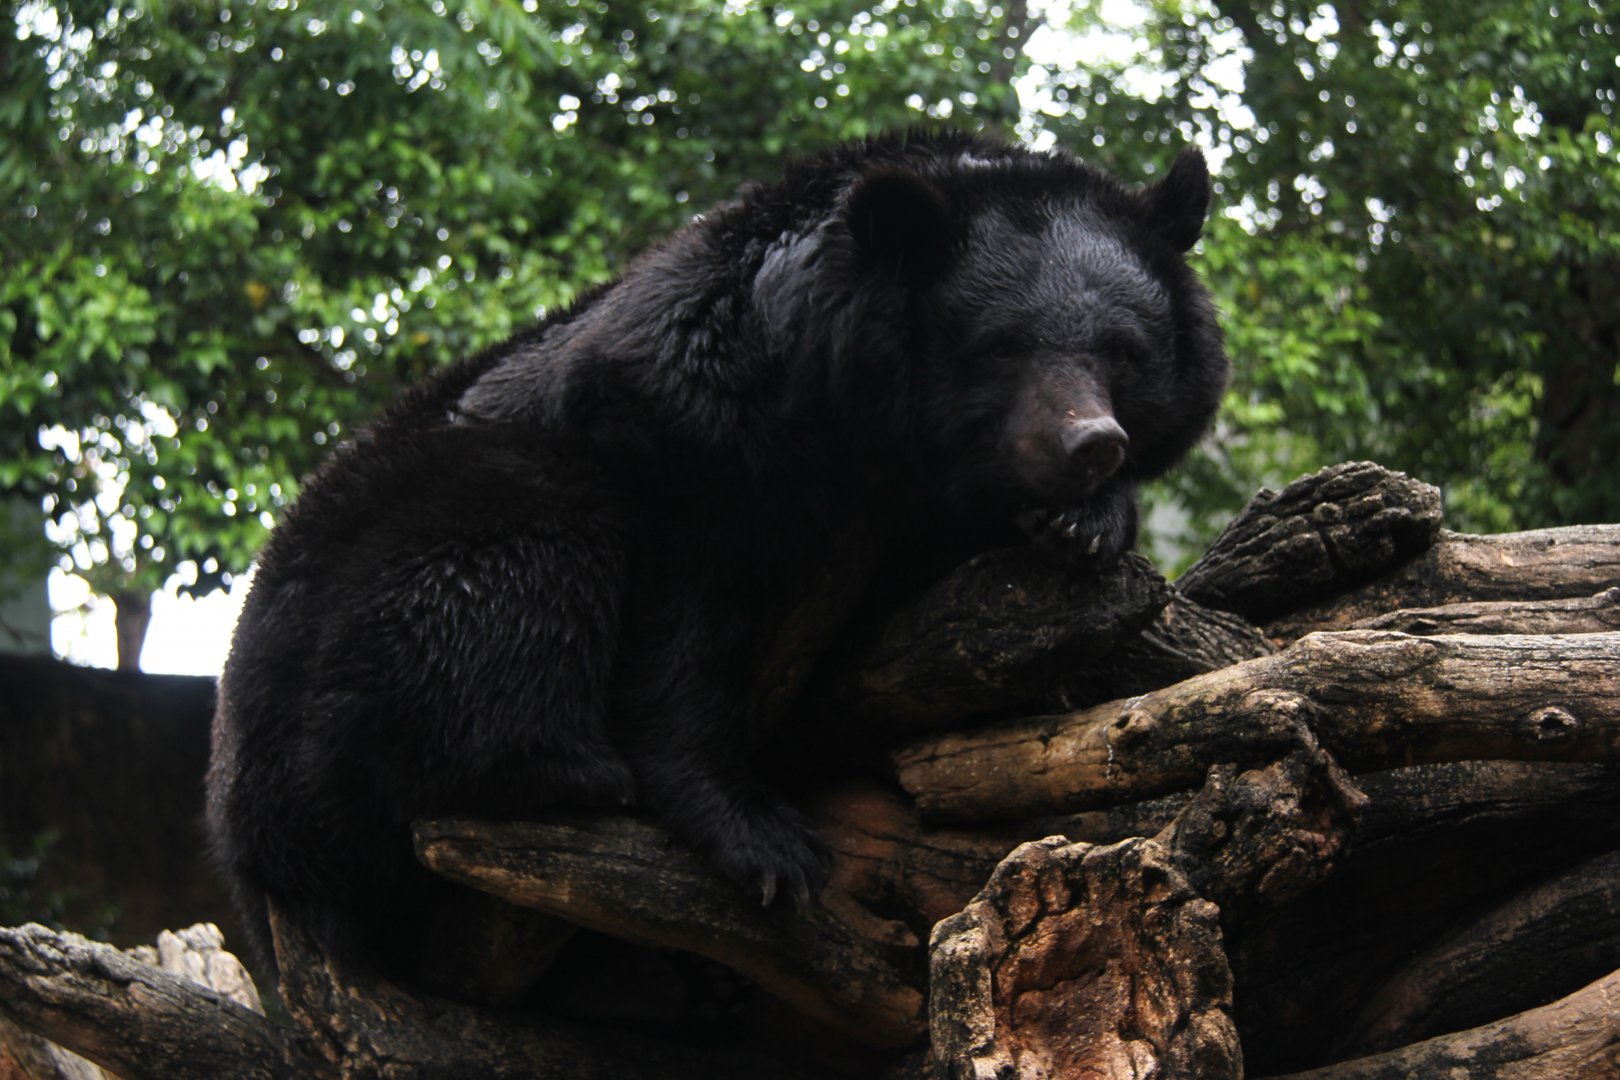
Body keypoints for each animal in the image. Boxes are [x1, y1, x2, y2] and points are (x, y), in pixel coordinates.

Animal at [206, 130, 1230, 981]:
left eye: (1124, 351)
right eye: (999, 348)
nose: (1087, 444)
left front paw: (1081, 526)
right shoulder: (690, 421)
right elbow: (687, 629)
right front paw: (762, 840)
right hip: (372, 590)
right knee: (511, 565)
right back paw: (567, 769)